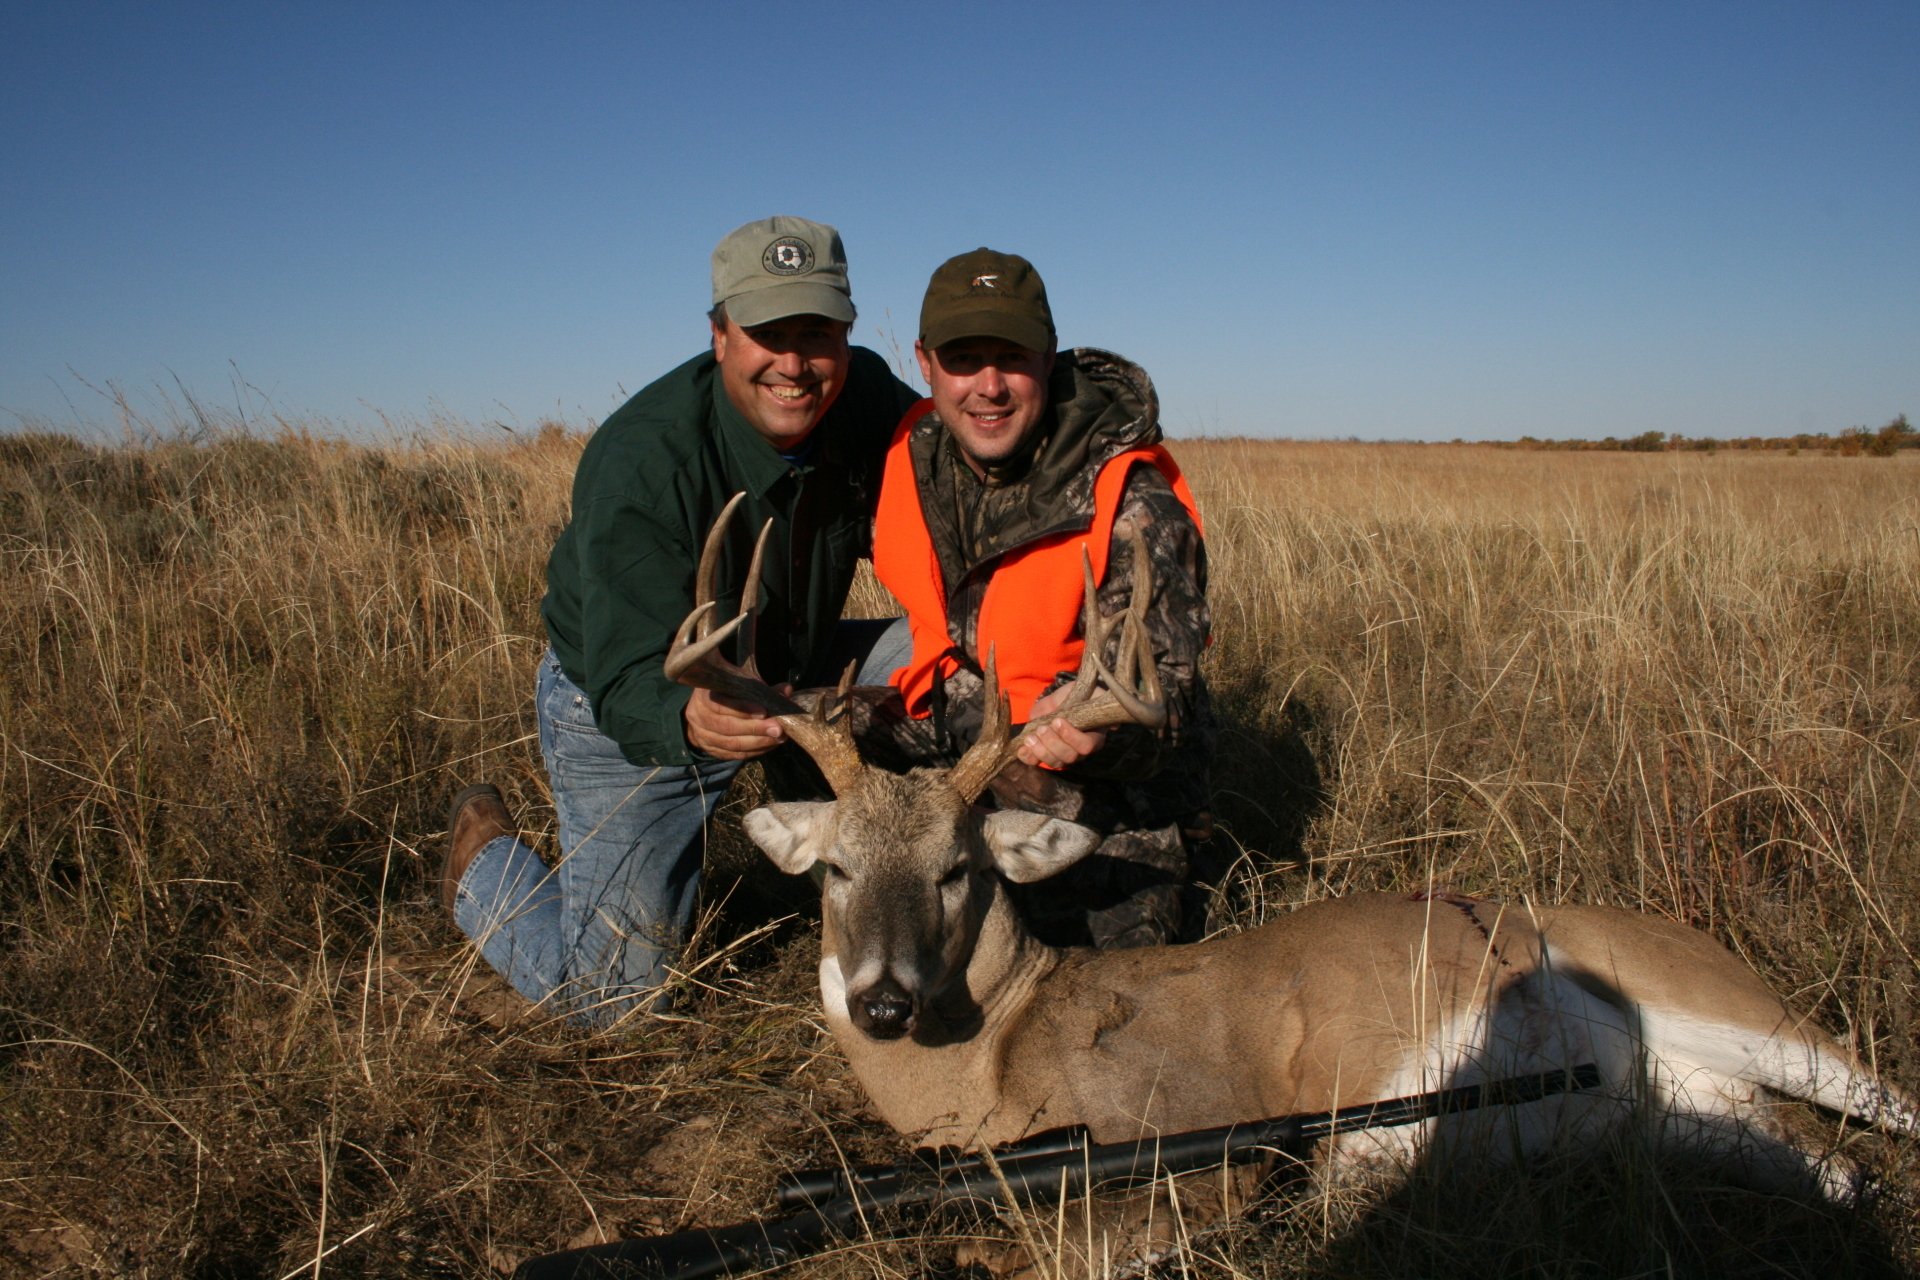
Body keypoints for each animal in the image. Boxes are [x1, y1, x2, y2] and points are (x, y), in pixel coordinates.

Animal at [666, 494, 1917, 1203]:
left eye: (957, 869)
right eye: (834, 867)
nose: (881, 998)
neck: (995, 1056)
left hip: (1740, 1004)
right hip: (1689, 1106)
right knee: (1834, 1168)